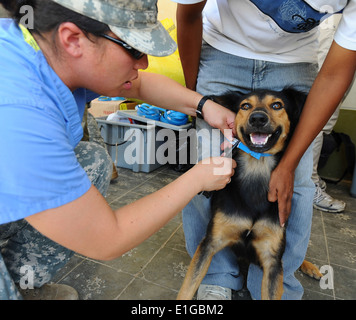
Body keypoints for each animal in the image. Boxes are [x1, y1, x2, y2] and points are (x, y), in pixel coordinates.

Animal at [178, 87, 322, 300]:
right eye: (245, 106)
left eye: (277, 105)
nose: (258, 118)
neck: (257, 166)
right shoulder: (210, 243)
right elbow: (187, 288)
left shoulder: (272, 260)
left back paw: (310, 266)